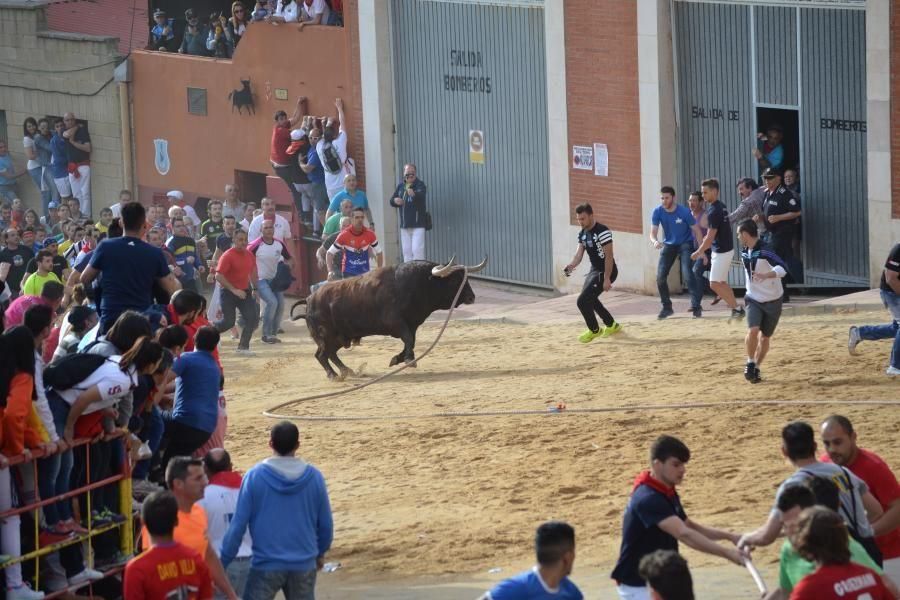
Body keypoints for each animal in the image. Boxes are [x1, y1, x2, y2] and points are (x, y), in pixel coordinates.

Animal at [292, 258, 482, 380]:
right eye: (455, 280)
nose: (472, 297)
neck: (419, 283)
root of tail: (309, 299)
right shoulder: (397, 323)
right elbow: (409, 339)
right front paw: (407, 360)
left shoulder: (412, 324)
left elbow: (411, 341)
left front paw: (400, 358)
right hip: (326, 336)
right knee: (321, 355)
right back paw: (334, 375)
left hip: (338, 337)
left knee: (329, 354)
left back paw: (348, 371)